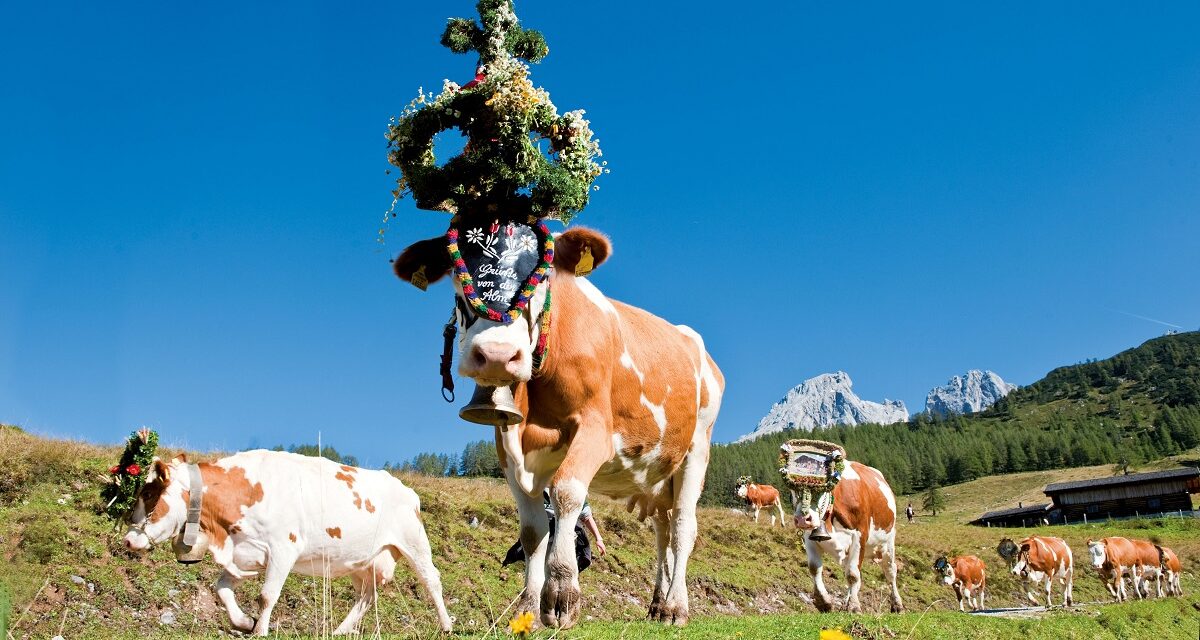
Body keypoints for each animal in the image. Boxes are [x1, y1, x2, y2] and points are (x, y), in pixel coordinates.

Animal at [121, 449, 451, 633]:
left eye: (148, 493)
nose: (127, 541)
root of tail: (406, 489)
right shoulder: (246, 554)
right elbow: (222, 589)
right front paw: (244, 622)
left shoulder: (283, 549)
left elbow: (267, 596)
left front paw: (260, 630)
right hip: (362, 560)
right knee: (367, 595)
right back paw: (340, 630)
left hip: (414, 542)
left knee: (432, 581)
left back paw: (446, 625)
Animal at [398, 220, 724, 629]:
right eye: (458, 275)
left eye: (542, 276)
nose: (497, 355)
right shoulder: (508, 444)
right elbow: (532, 529)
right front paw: (527, 608)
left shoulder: (595, 430)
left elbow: (567, 492)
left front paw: (561, 594)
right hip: (658, 473)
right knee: (662, 531)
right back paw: (657, 604)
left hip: (697, 447)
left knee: (683, 526)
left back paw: (676, 607)